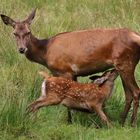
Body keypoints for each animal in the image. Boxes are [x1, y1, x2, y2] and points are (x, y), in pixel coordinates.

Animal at [0, 9, 140, 127]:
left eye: (28, 32)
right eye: (14, 33)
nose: (22, 49)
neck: (45, 52)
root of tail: (136, 36)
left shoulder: (65, 70)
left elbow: (68, 101)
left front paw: (70, 122)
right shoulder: (69, 73)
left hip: (126, 63)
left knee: (135, 91)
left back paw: (132, 123)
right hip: (122, 66)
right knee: (128, 95)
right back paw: (122, 122)